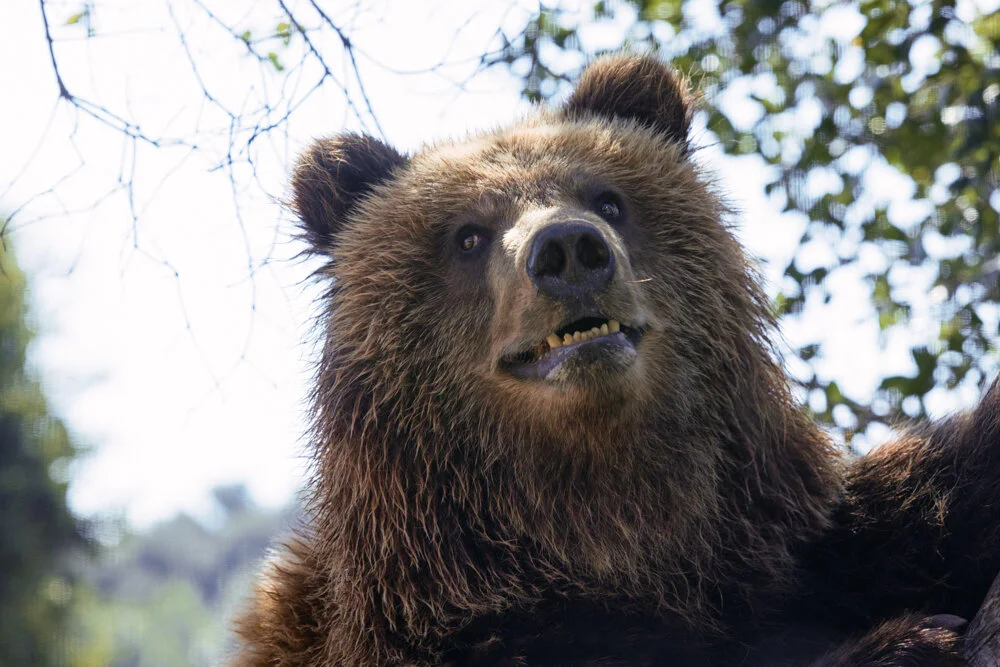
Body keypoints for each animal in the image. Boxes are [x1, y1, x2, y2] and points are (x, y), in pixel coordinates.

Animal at [232, 54, 1000, 665]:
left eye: (607, 198)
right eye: (468, 235)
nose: (569, 249)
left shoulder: (786, 546)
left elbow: (924, 506)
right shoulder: (441, 627)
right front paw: (908, 641)